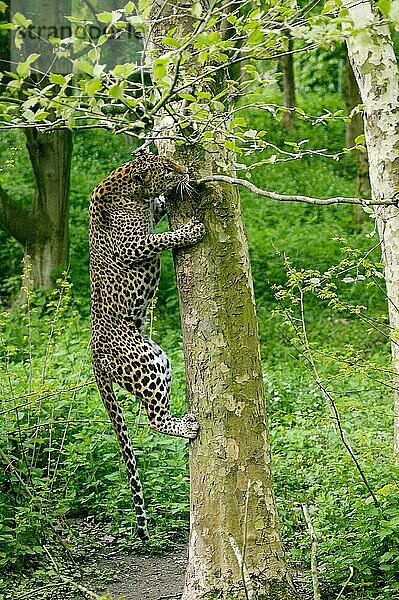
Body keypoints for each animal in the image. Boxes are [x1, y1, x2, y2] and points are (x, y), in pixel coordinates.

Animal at [88, 152, 205, 540]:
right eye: (167, 168)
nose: (186, 171)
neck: (126, 187)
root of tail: (93, 357)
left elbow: (159, 210)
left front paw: (168, 199)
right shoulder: (132, 245)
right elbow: (161, 238)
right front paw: (190, 230)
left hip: (160, 357)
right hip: (147, 362)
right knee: (153, 419)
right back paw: (186, 426)